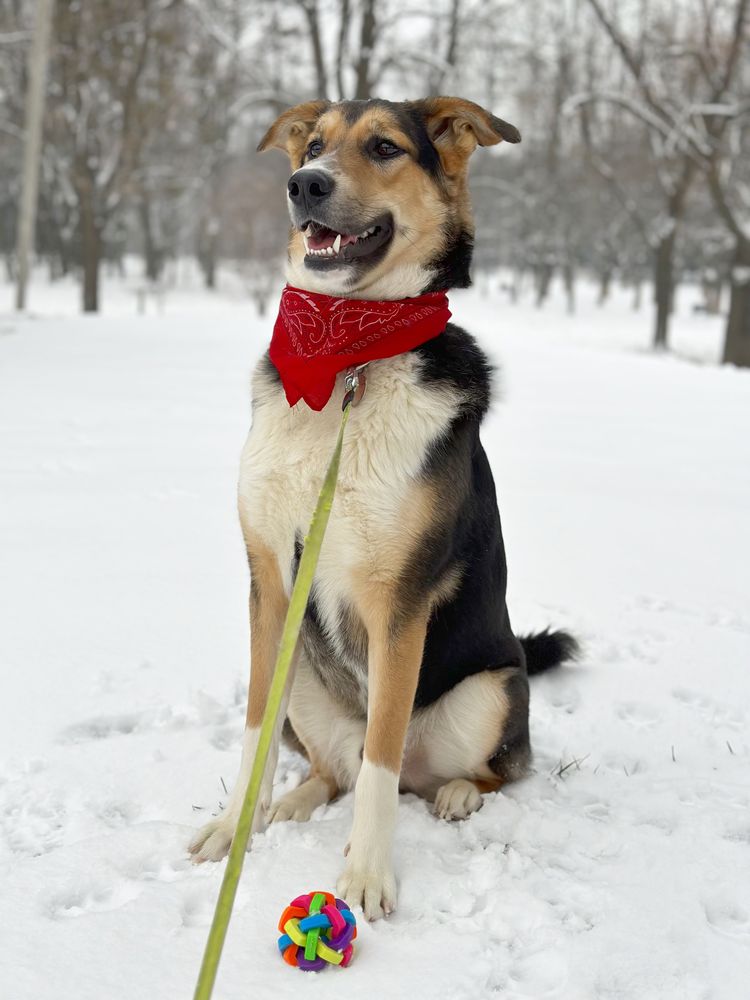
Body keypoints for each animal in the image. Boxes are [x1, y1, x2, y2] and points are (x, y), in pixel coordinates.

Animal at [191, 99, 580, 920]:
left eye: (384, 147)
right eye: (312, 144)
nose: (305, 184)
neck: (349, 362)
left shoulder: (398, 606)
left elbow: (380, 757)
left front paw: (367, 875)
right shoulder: (271, 582)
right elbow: (255, 730)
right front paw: (235, 825)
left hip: (493, 690)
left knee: (467, 772)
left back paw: (459, 794)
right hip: (305, 682)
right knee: (334, 770)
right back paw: (292, 803)